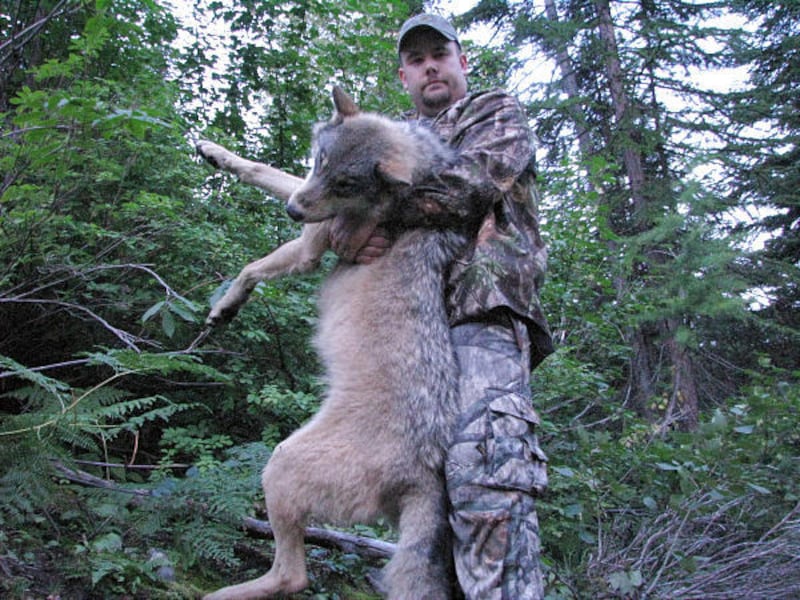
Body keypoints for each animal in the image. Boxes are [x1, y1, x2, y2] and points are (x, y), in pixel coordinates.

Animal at [200, 87, 470, 599]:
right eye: (319, 163)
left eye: (346, 185)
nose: (291, 213)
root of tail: (429, 468)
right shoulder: (304, 198)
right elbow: (267, 172)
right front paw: (216, 154)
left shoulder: (311, 246)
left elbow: (250, 267)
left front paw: (225, 306)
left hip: (280, 465)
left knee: (293, 575)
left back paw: (220, 594)